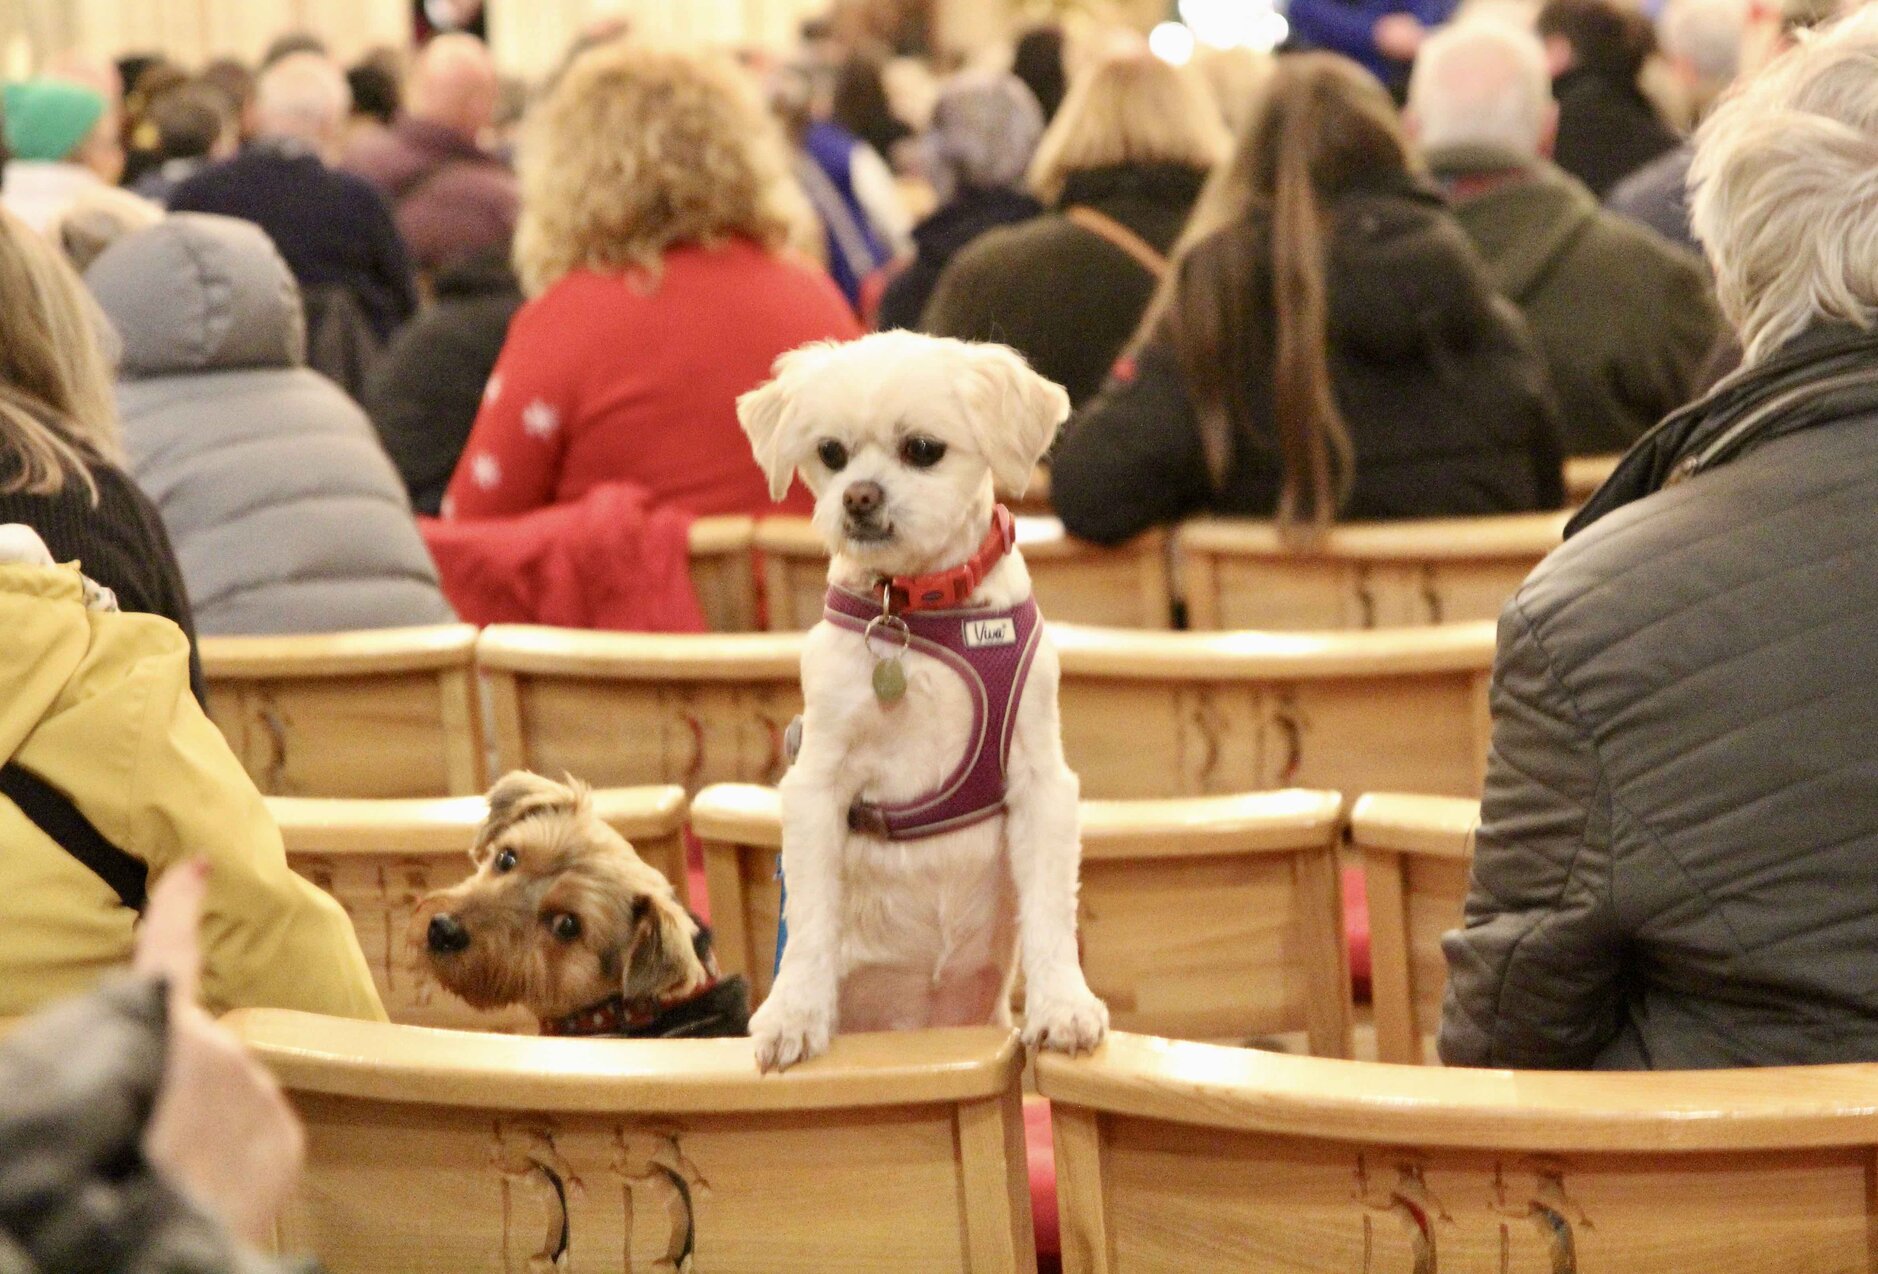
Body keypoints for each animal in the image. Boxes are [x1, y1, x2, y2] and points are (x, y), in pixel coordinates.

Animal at [736, 334, 1111, 1074]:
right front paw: (793, 1012)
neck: (917, 609)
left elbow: (1052, 909)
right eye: (830, 453)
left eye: (923, 449)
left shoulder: (1042, 782)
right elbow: (810, 919)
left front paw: (1063, 1004)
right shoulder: (815, 786)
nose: (858, 496)